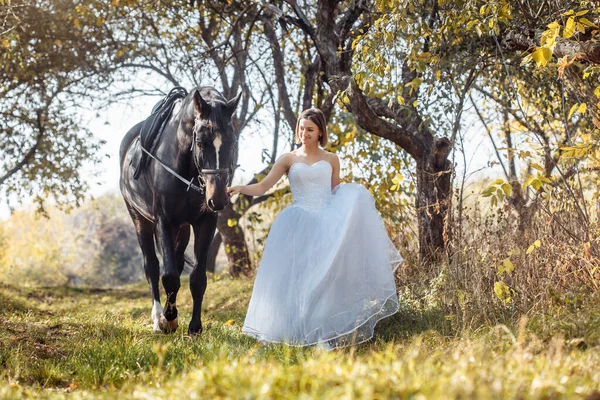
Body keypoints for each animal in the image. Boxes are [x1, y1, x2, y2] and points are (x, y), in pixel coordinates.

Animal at [119, 86, 241, 334]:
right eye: (201, 142)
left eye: (232, 143)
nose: (218, 199)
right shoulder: (163, 222)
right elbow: (169, 276)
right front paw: (169, 319)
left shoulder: (205, 223)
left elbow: (197, 279)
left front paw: (194, 327)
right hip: (140, 220)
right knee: (152, 267)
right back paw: (158, 318)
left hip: (182, 228)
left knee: (175, 261)